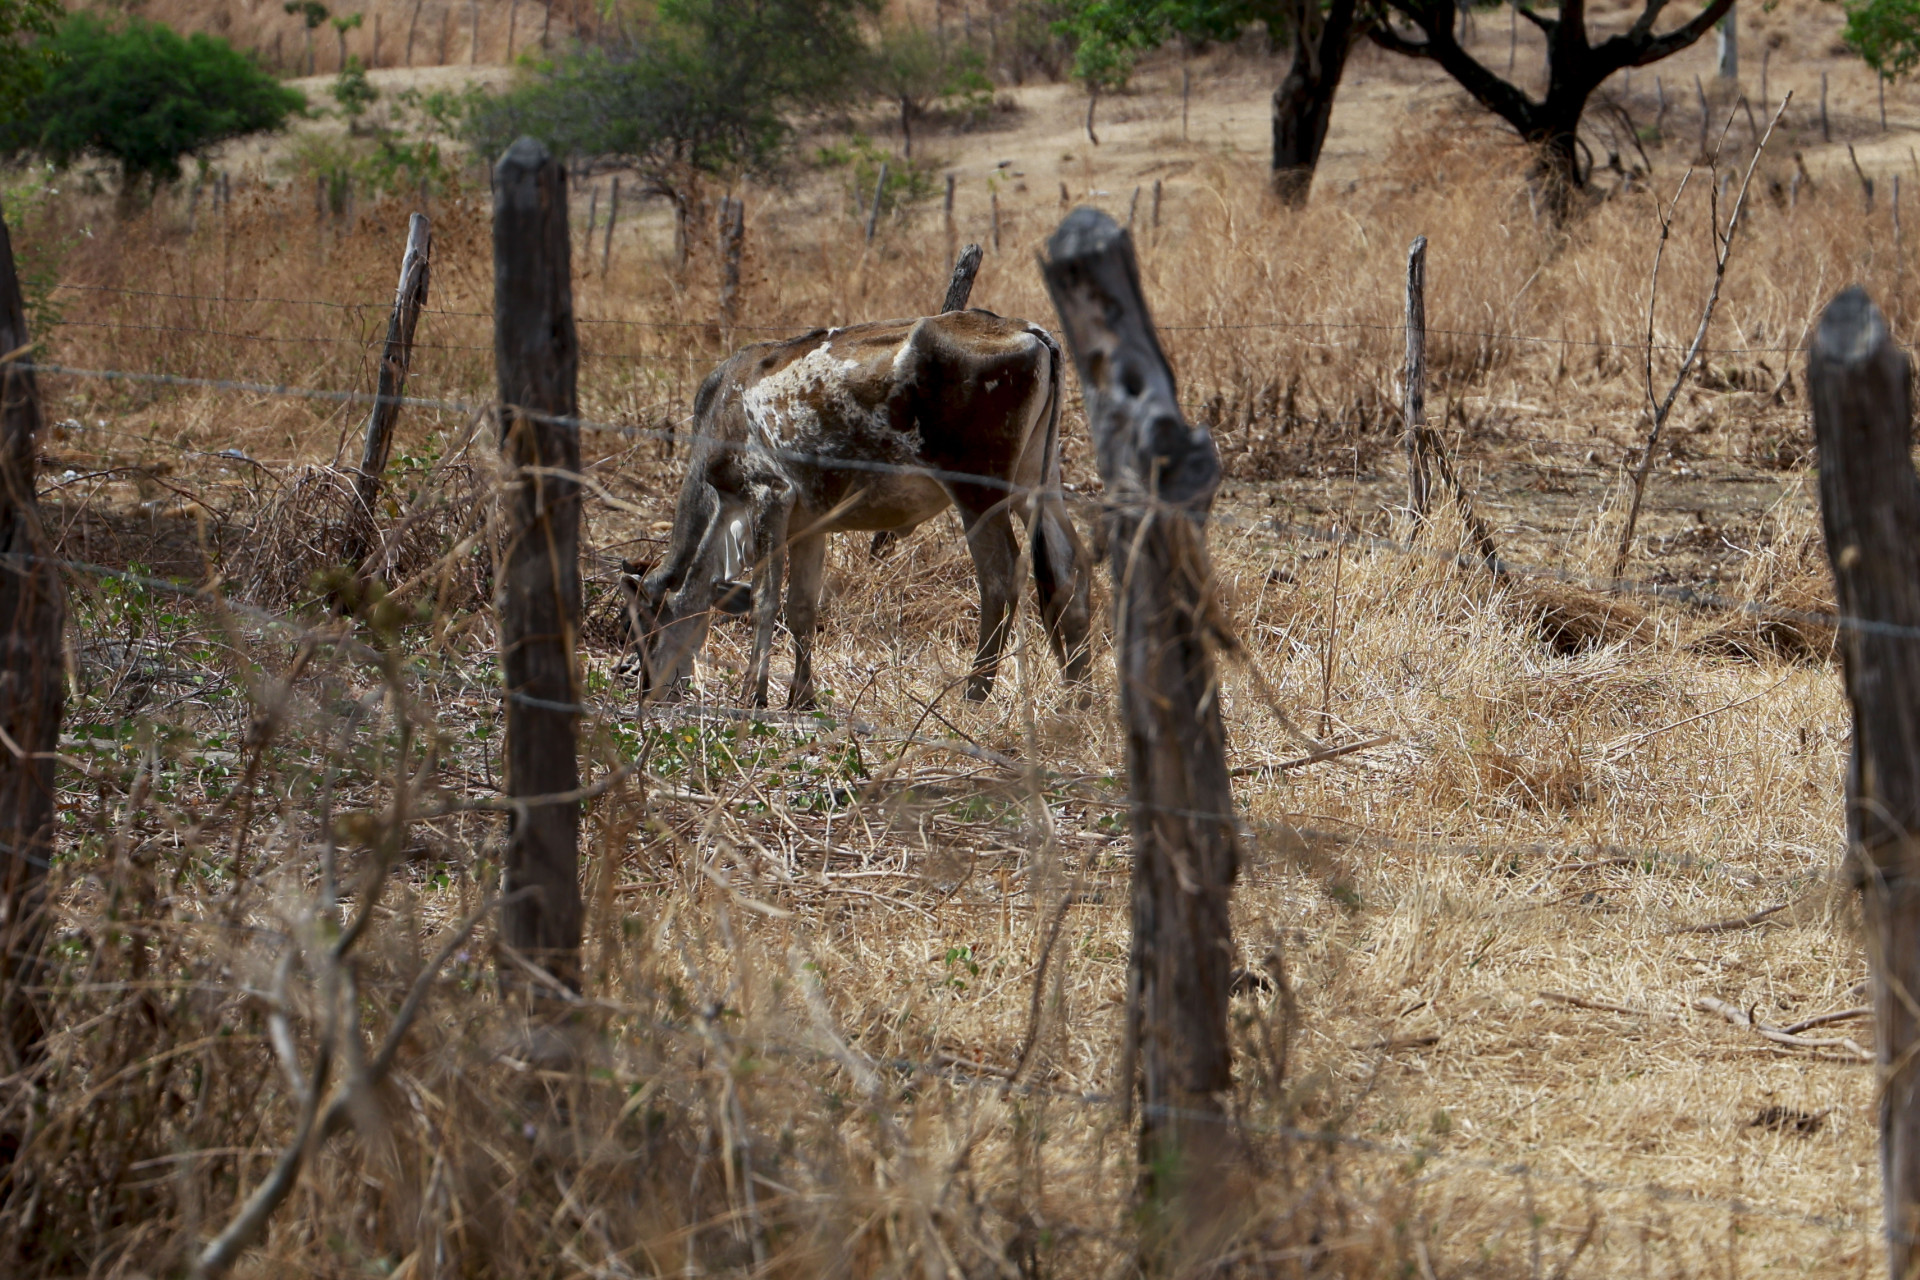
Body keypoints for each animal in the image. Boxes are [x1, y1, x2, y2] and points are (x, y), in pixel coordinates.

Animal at [618, 310, 1090, 710]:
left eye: (644, 628)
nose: (647, 692)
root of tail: (1026, 329)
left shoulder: (769, 495)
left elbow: (765, 601)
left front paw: (754, 694)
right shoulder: (808, 524)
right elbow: (801, 609)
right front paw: (801, 698)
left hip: (978, 493)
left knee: (1000, 575)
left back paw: (975, 690)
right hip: (1037, 481)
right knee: (1068, 566)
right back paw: (1077, 693)